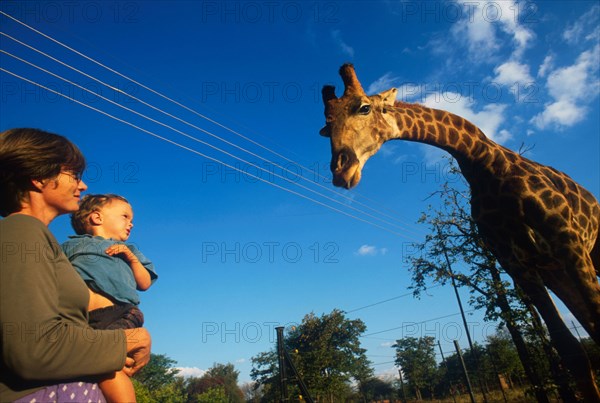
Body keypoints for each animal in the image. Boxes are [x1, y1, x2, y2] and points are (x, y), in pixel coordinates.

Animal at [322, 63, 600, 400]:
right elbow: (571, 350)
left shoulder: (568, 242)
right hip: (556, 272)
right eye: (326, 128)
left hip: (587, 254)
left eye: (364, 107)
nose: (341, 172)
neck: (483, 161)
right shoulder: (519, 266)